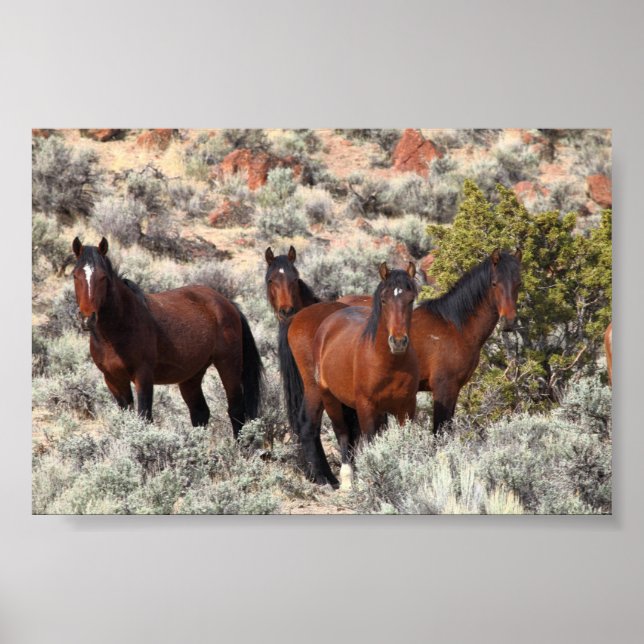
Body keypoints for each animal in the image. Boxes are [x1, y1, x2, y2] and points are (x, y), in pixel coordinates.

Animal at [71, 237, 263, 436]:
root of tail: (228, 304)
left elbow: (144, 418)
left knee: (235, 410)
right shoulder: (113, 380)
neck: (116, 332)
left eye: (103, 277)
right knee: (200, 412)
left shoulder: (143, 376)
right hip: (192, 375)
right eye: (75, 276)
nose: (88, 318)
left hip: (228, 365)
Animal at [301, 263, 418, 488]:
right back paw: (347, 480)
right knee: (343, 433)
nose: (398, 342)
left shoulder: (406, 407)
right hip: (329, 398)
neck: (388, 363)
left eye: (411, 299)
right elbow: (370, 441)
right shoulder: (366, 406)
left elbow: (403, 440)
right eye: (384, 299)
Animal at [412, 248, 522, 431]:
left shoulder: (454, 390)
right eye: (494, 283)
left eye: (518, 283)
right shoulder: (444, 389)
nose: (509, 321)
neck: (454, 328)